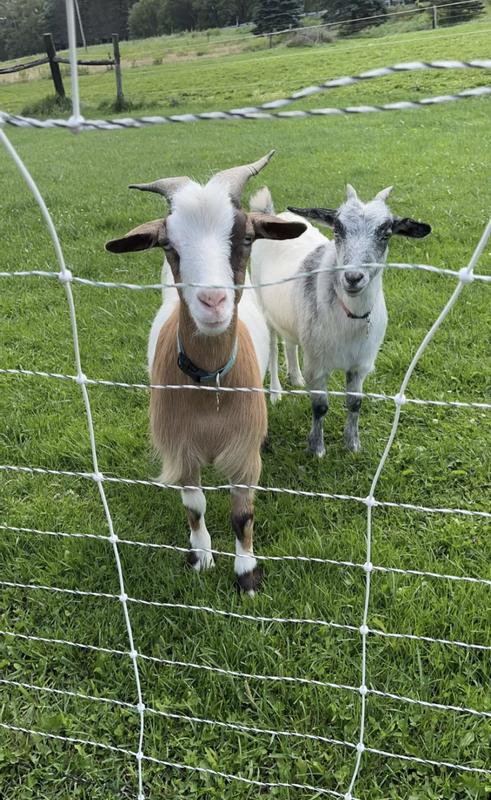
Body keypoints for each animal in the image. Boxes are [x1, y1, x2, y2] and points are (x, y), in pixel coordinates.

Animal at [105, 152, 306, 593]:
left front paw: (247, 573)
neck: (210, 385)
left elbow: (242, 513)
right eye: (167, 244)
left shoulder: (243, 450)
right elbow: (194, 505)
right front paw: (201, 556)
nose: (212, 301)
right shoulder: (181, 446)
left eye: (245, 236)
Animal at [250, 184, 431, 456]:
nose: (353, 278)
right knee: (272, 347)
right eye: (337, 228)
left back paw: (296, 378)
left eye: (386, 233)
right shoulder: (317, 363)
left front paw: (353, 444)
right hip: (263, 305)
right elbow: (320, 406)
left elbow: (355, 403)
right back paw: (276, 393)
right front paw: (317, 449)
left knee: (289, 343)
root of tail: (271, 214)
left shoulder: (360, 364)